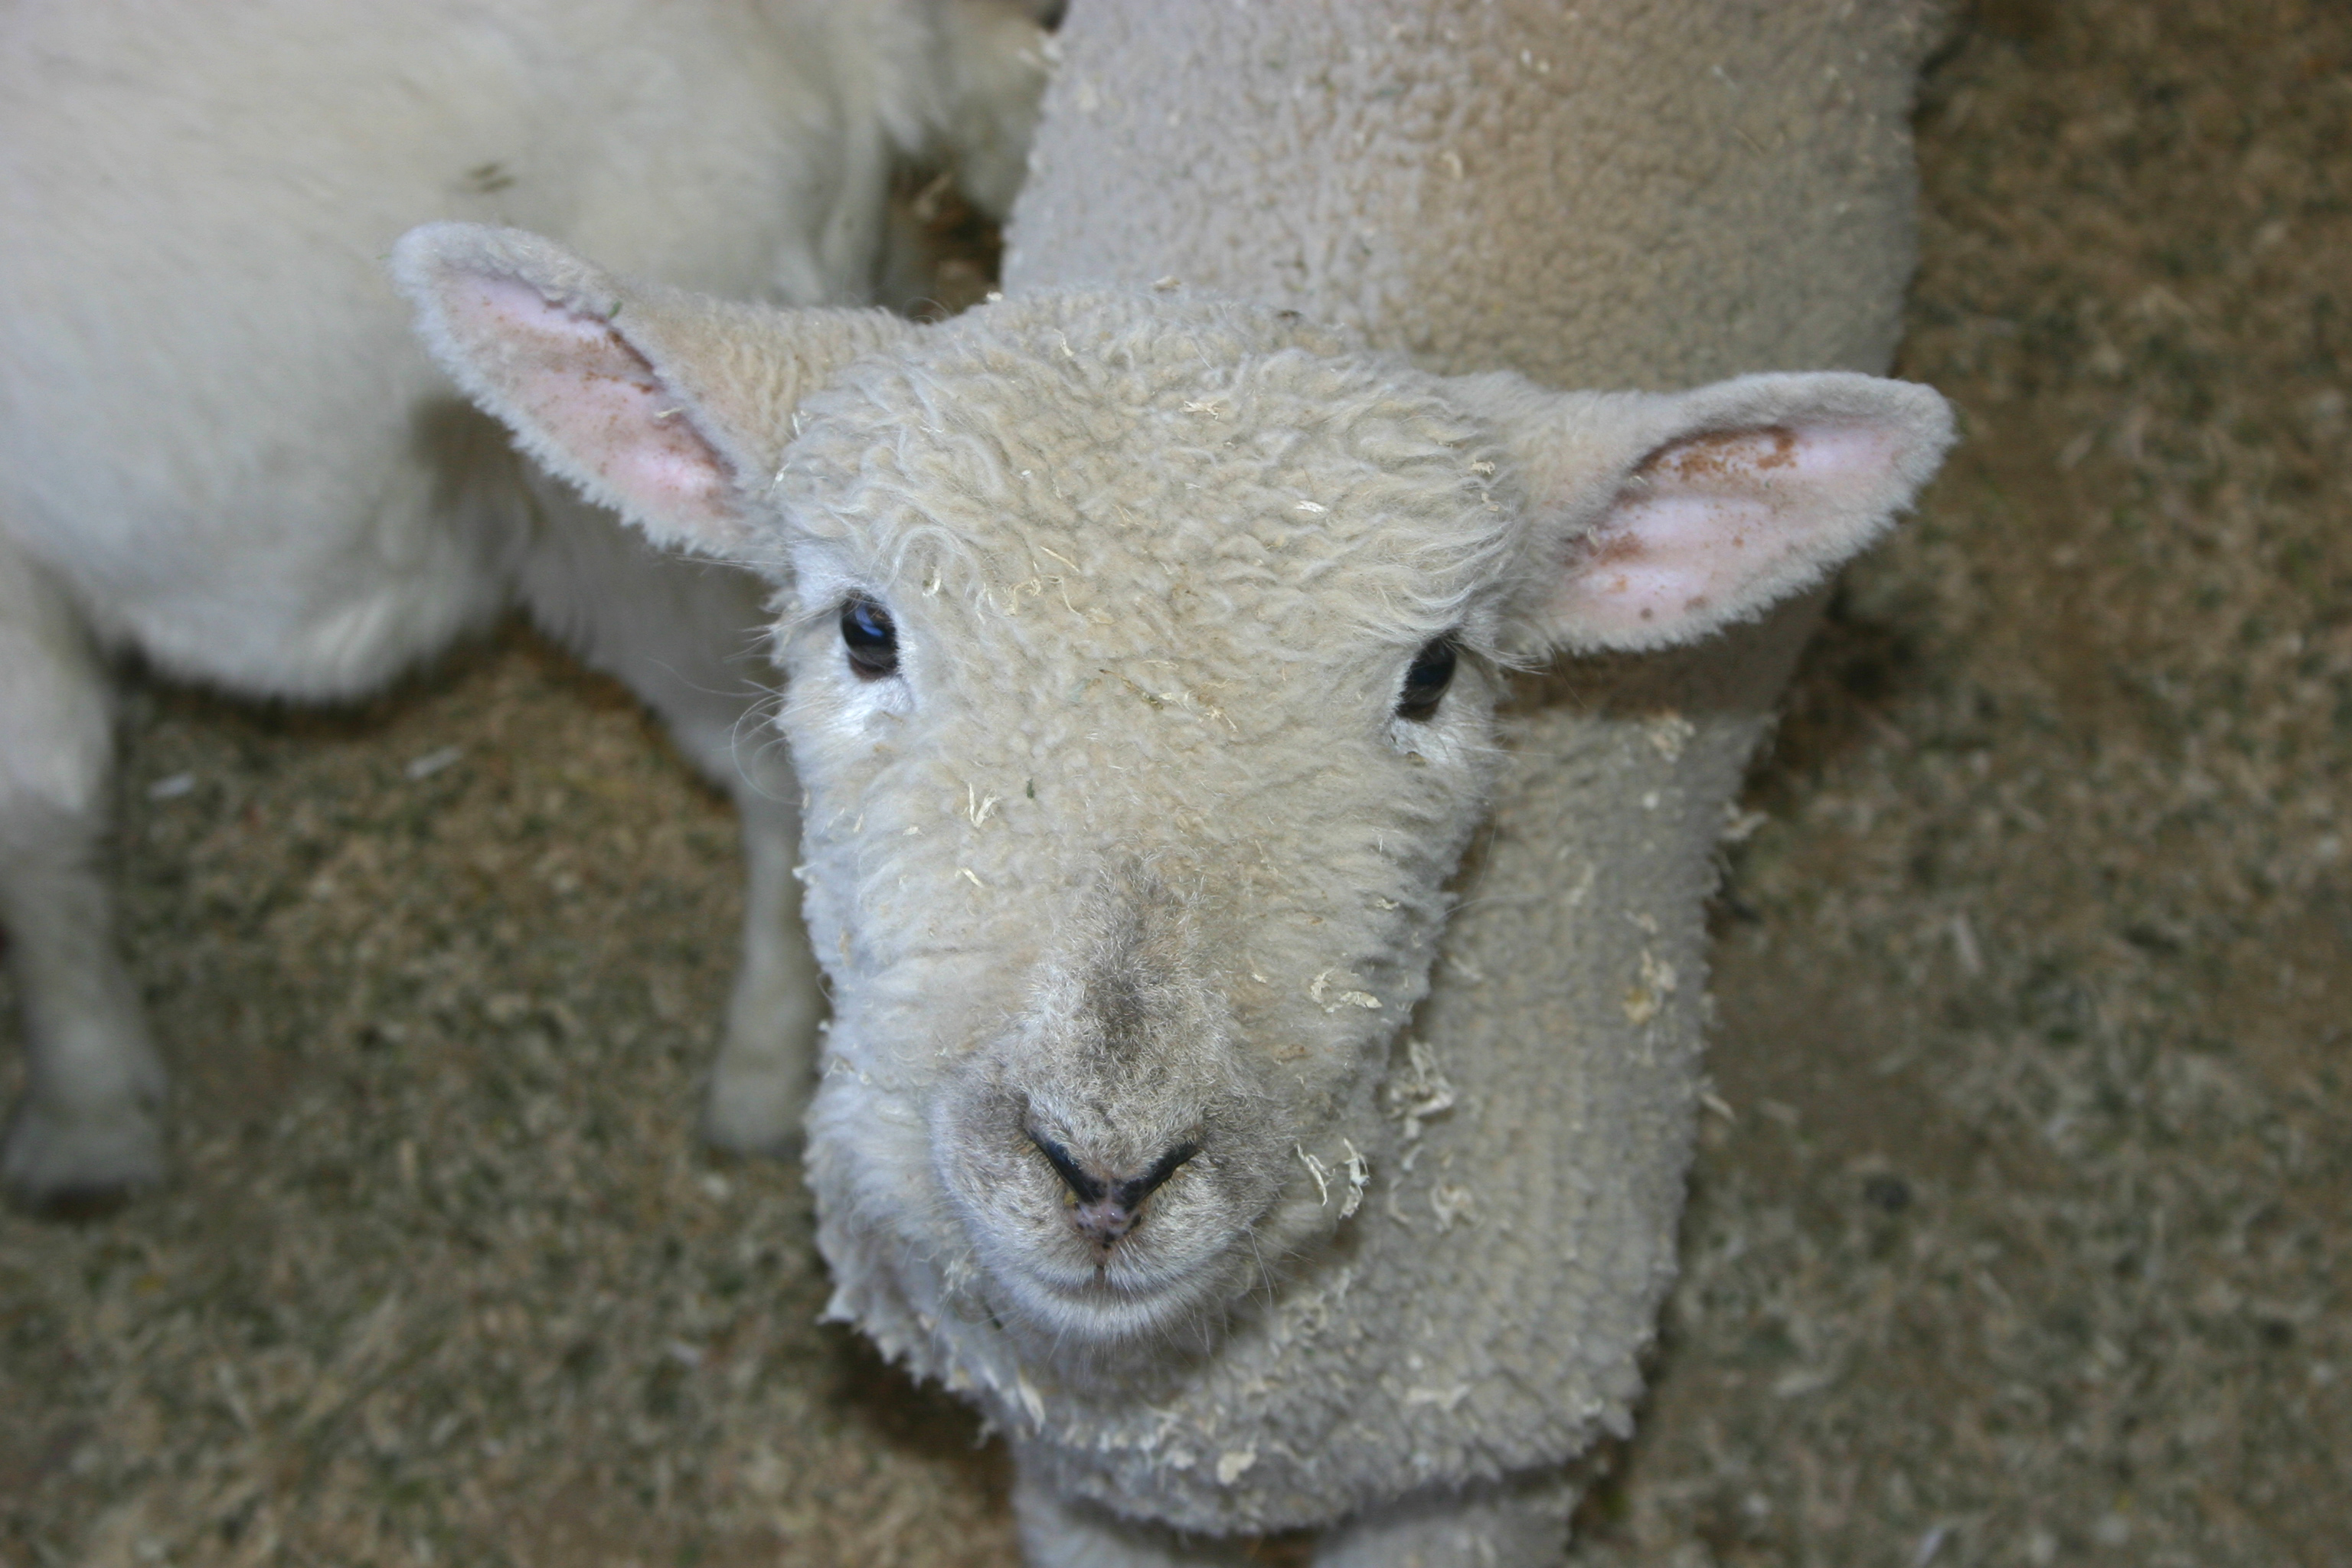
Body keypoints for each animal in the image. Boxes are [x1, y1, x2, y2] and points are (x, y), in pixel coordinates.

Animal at [0, 0, 1050, 1206]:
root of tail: (853, 37)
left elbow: (36, 825)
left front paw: (84, 1113)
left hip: (641, 536)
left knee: (783, 785)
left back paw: (761, 1074)